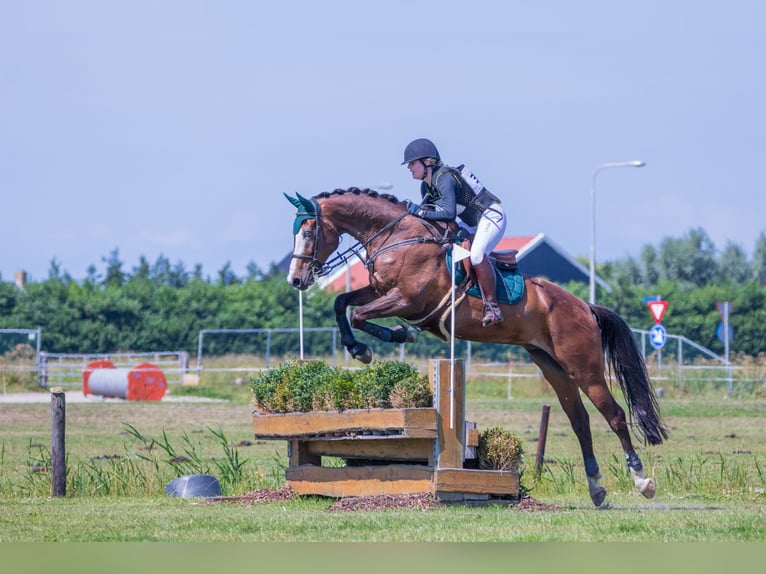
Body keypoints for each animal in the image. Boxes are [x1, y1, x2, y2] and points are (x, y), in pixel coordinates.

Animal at [284, 188, 668, 508]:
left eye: (308, 232)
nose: (296, 279)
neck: (397, 238)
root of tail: (584, 306)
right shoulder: (380, 291)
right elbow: (343, 304)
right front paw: (359, 347)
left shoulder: (407, 300)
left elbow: (360, 314)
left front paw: (391, 338)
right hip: (552, 365)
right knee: (580, 420)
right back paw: (597, 488)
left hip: (583, 366)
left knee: (614, 415)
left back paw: (642, 481)